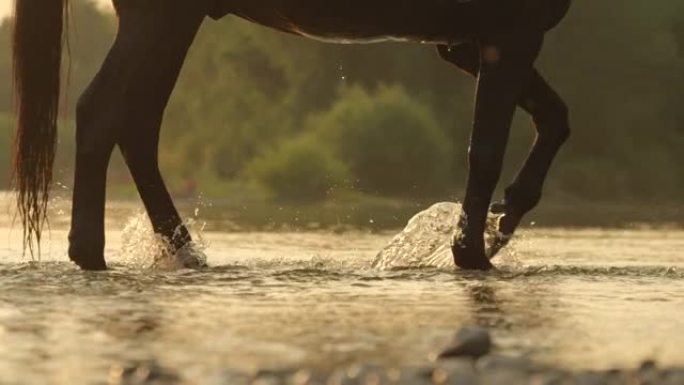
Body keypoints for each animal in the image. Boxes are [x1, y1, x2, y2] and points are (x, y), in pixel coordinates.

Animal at [10, 0, 572, 270]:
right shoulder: (508, 36)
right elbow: (488, 148)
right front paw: (472, 252)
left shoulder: (466, 44)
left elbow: (555, 119)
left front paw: (504, 220)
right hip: (159, 19)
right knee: (103, 113)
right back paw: (92, 252)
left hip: (170, 25)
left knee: (137, 126)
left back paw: (183, 251)